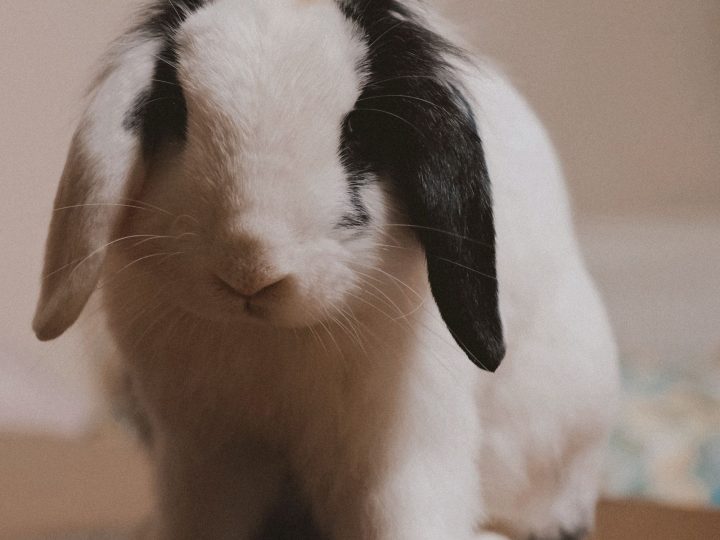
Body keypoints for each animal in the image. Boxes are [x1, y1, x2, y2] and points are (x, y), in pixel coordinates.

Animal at [33, 1, 619, 539]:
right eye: (176, 113)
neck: (270, 338)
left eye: (357, 130)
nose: (250, 270)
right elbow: (205, 515)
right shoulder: (206, 455)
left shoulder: (403, 450)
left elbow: (405, 513)